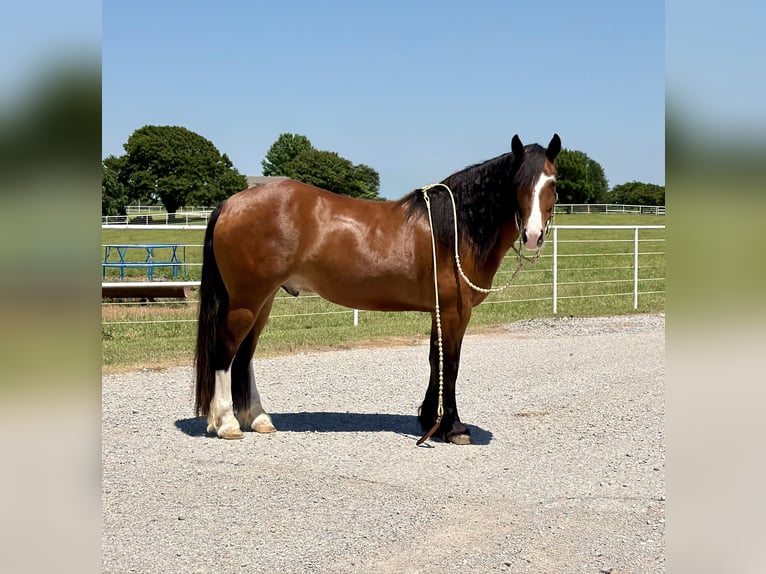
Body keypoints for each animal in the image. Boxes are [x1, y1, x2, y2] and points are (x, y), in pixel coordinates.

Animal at [194, 133, 561, 445]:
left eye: (553, 183)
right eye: (518, 183)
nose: (532, 235)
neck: (456, 229)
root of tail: (231, 203)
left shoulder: (439, 311)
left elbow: (435, 360)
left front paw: (431, 420)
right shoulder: (455, 312)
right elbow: (452, 365)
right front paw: (454, 427)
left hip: (264, 299)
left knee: (245, 355)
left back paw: (258, 419)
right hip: (247, 300)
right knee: (226, 350)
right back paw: (227, 423)